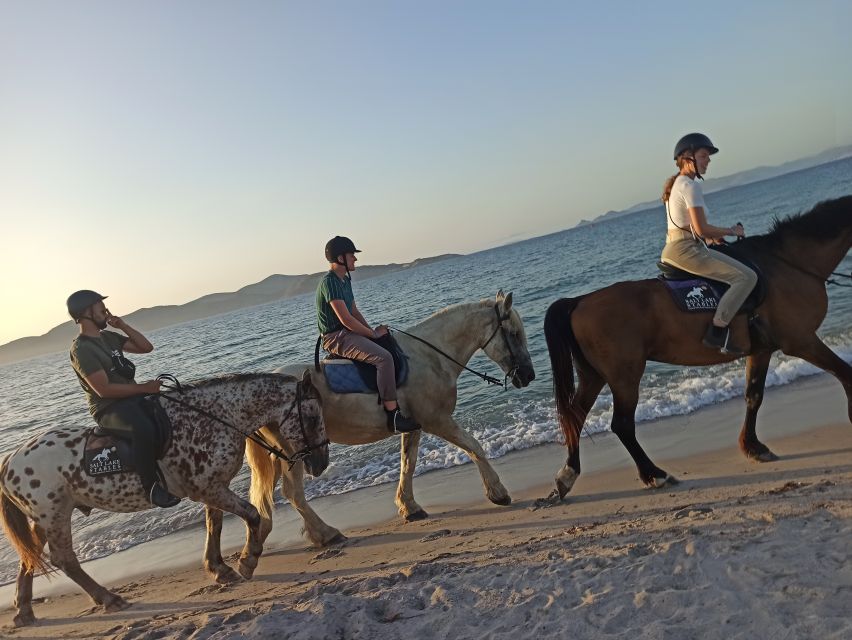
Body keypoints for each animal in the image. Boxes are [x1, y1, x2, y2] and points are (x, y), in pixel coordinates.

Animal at [0, 370, 328, 624]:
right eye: (312, 418)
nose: (321, 464)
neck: (213, 417)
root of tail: (10, 460)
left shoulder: (212, 485)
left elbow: (214, 524)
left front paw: (219, 568)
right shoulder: (209, 487)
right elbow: (252, 514)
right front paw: (248, 560)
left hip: (43, 519)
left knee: (29, 558)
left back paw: (24, 612)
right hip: (55, 515)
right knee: (64, 558)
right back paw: (108, 598)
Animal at [544, 195, 852, 500]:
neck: (787, 265)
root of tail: (579, 301)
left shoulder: (761, 350)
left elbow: (754, 396)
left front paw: (753, 447)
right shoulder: (801, 341)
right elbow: (845, 372)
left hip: (593, 375)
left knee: (576, 416)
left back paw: (567, 476)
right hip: (624, 376)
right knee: (621, 424)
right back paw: (654, 475)